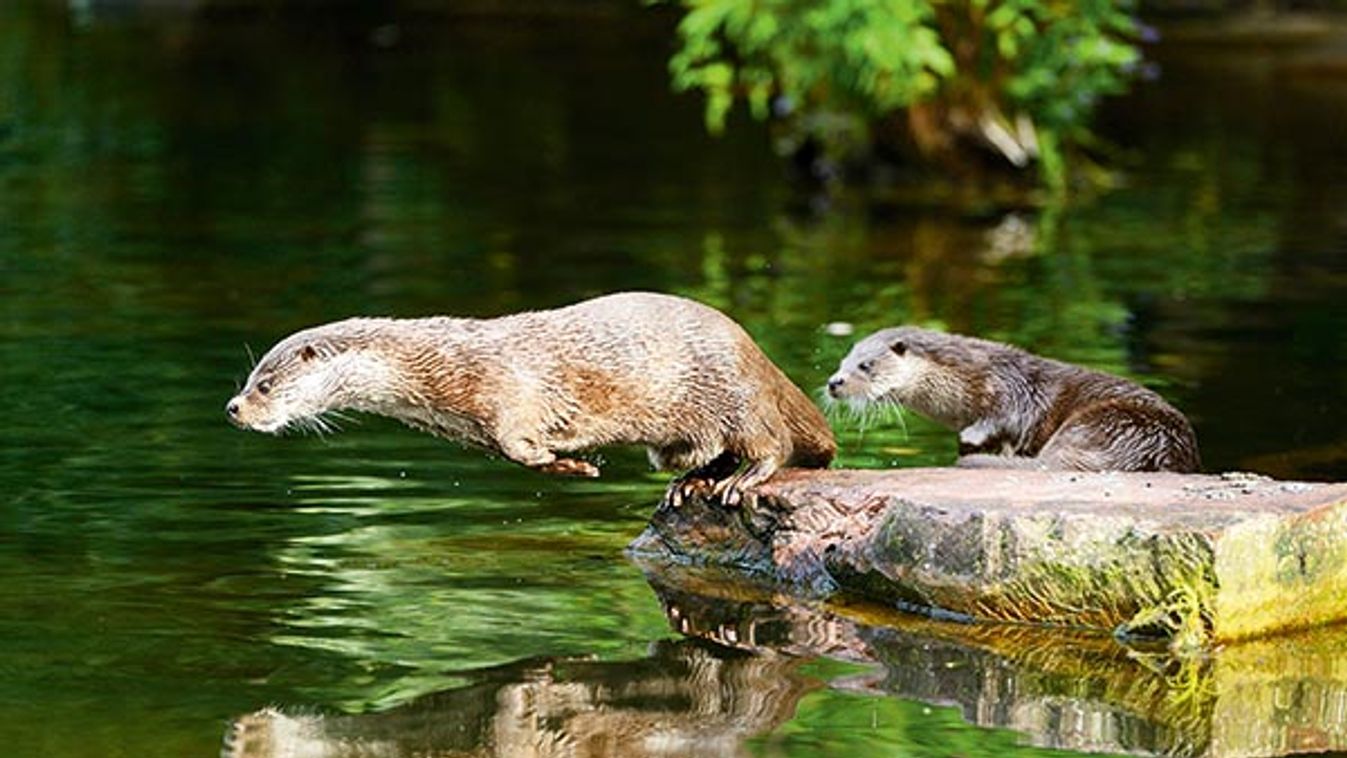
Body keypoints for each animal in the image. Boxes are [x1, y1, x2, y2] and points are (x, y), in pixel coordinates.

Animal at [227, 293, 835, 506]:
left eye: (264, 384)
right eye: (247, 378)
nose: (233, 407)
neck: (439, 370)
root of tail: (754, 350)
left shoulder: (508, 389)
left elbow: (520, 443)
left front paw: (571, 464)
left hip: (735, 394)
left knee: (772, 444)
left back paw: (738, 481)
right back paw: (690, 482)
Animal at [829, 327, 1201, 473]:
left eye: (866, 365)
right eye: (842, 361)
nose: (834, 382)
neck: (973, 380)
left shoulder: (1014, 390)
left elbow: (1008, 418)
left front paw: (972, 438)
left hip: (1105, 420)